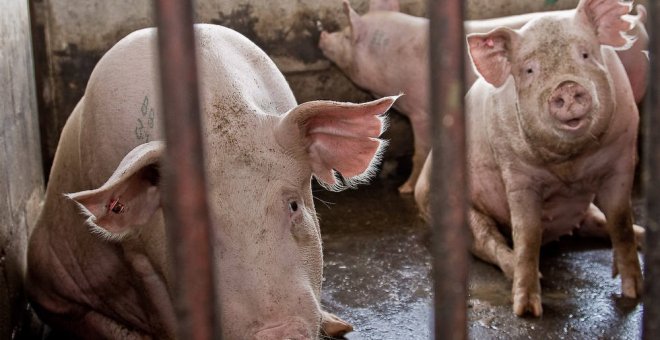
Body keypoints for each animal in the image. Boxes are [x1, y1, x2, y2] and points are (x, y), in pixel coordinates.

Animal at [318, 0, 648, 197]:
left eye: (346, 35)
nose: (321, 35)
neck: (389, 56)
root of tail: (637, 22)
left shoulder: (421, 111)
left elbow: (421, 148)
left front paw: (404, 190)